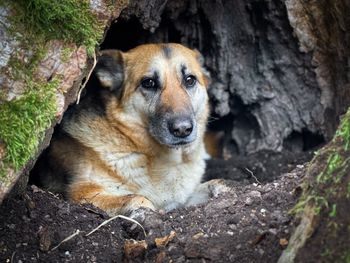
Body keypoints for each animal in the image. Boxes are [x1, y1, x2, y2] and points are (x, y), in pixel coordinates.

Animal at [35, 43, 224, 217]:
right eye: (149, 83)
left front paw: (220, 190)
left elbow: (217, 183)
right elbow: (138, 198)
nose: (182, 129)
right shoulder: (85, 192)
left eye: (190, 80)